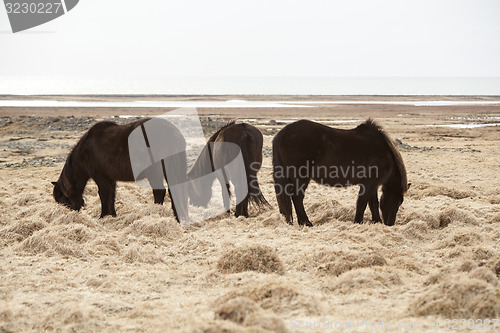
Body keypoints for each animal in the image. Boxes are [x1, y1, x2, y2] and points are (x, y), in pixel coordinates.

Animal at [51, 118, 188, 222]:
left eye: (62, 200)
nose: (71, 215)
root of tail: (176, 134)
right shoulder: (110, 179)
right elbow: (111, 195)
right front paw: (112, 215)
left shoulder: (101, 178)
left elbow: (103, 195)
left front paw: (103, 216)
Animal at [274, 118, 410, 226]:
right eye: (398, 202)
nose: (390, 223)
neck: (384, 152)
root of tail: (281, 134)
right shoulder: (368, 184)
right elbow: (362, 203)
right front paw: (358, 222)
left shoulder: (372, 185)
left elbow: (373, 203)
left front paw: (376, 221)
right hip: (301, 177)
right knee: (297, 197)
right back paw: (306, 222)